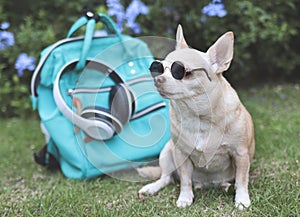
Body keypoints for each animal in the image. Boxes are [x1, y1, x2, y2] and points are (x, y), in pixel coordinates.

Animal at [137, 25, 254, 210]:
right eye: (159, 68)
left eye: (183, 72)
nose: (158, 79)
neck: (198, 116)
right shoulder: (181, 154)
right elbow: (185, 180)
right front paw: (185, 198)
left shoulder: (241, 154)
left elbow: (242, 180)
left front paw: (242, 200)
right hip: (167, 152)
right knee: (166, 178)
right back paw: (152, 188)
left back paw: (225, 185)